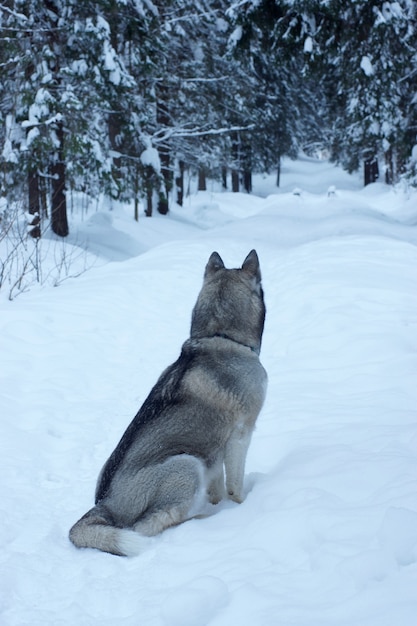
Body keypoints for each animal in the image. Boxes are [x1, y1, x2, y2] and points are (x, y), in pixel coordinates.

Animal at [68, 246, 266, 552]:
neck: (219, 337)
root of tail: (104, 505)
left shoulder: (214, 452)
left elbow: (218, 488)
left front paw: (219, 505)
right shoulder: (240, 436)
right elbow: (235, 487)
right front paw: (239, 508)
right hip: (186, 464)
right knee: (148, 526)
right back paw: (200, 521)